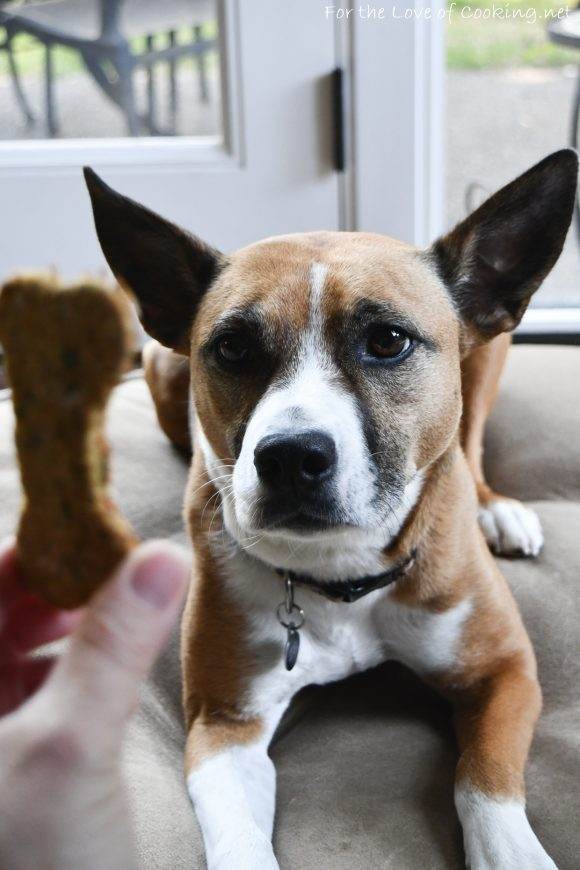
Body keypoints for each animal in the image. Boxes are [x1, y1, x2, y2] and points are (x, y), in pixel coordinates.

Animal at [84, 152, 576, 870]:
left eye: (389, 340)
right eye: (232, 348)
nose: (290, 456)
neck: (340, 571)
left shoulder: (506, 671)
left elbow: (482, 779)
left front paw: (512, 852)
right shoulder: (224, 724)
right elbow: (239, 840)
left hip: (487, 352)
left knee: (471, 440)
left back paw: (497, 510)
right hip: (163, 371)